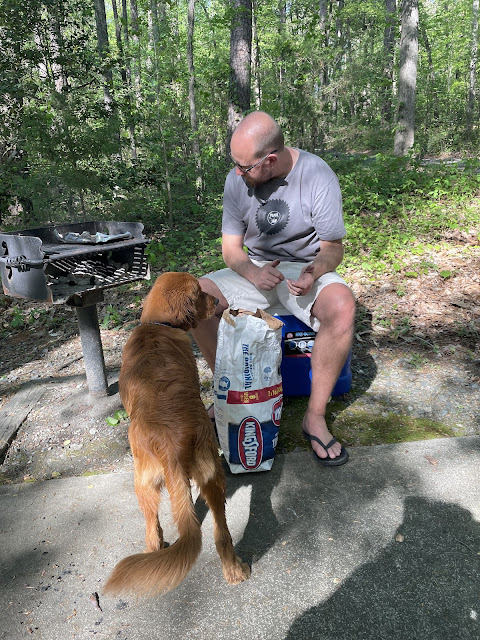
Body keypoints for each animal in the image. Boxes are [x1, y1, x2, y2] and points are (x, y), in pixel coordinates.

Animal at [103, 272, 249, 596]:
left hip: (143, 482)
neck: (159, 324)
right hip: (213, 474)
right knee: (221, 532)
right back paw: (234, 570)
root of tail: (170, 446)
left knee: (152, 531)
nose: (219, 302)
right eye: (200, 293)